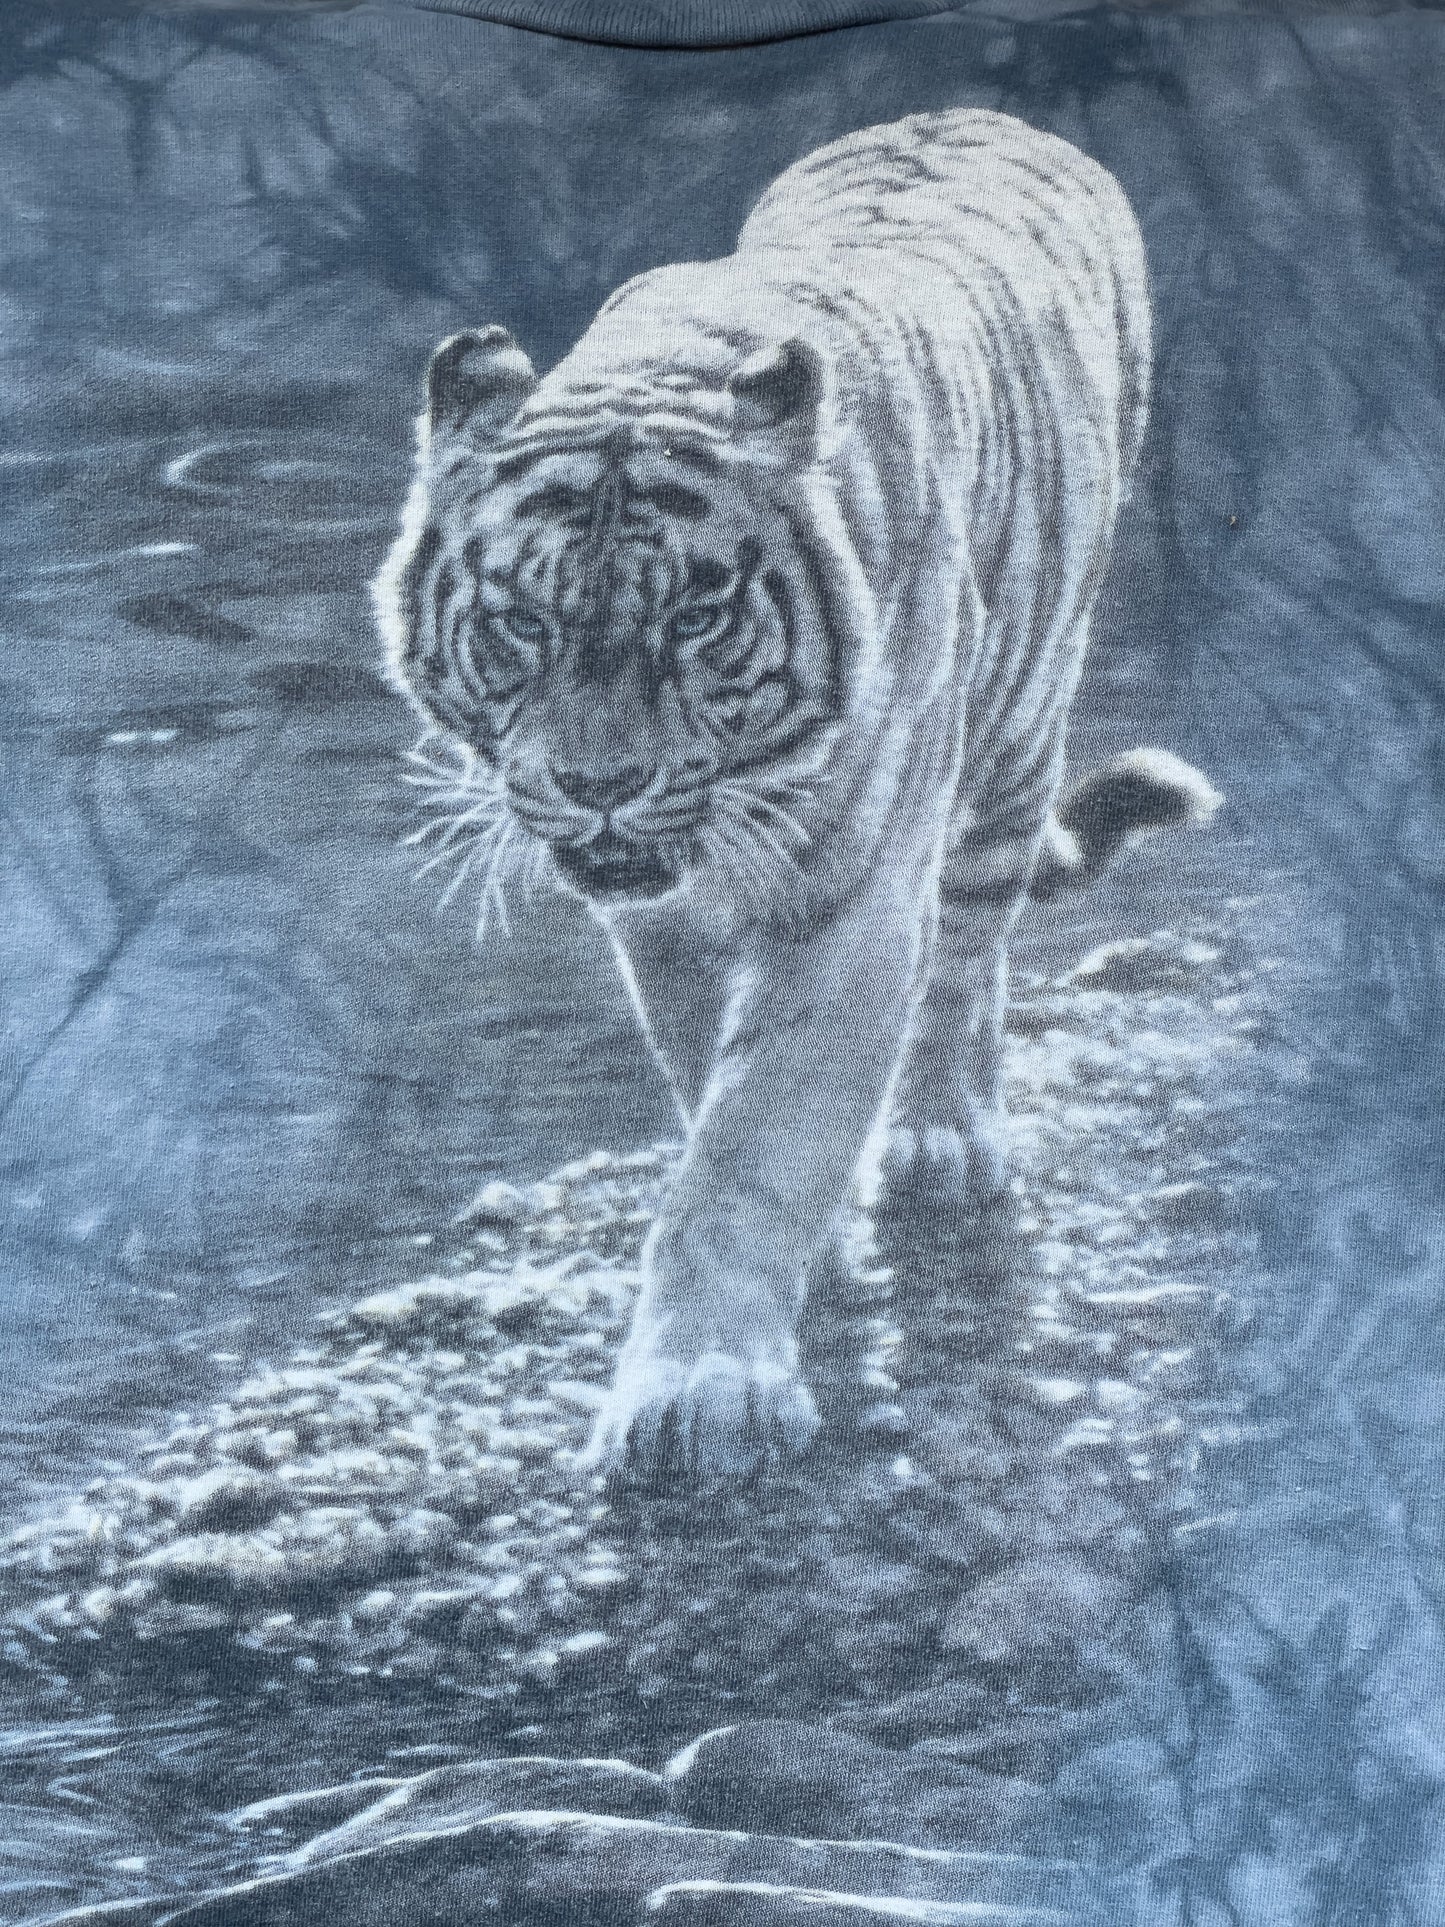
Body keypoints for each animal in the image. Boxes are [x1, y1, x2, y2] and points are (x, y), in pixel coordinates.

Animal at [373, 108, 1221, 1482]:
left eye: (695, 618)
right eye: (522, 622)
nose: (596, 785)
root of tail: (977, 113)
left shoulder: (851, 897)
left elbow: (755, 1136)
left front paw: (702, 1391)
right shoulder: (662, 919)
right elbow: (706, 1082)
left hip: (1015, 733)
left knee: (968, 958)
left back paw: (940, 1140)